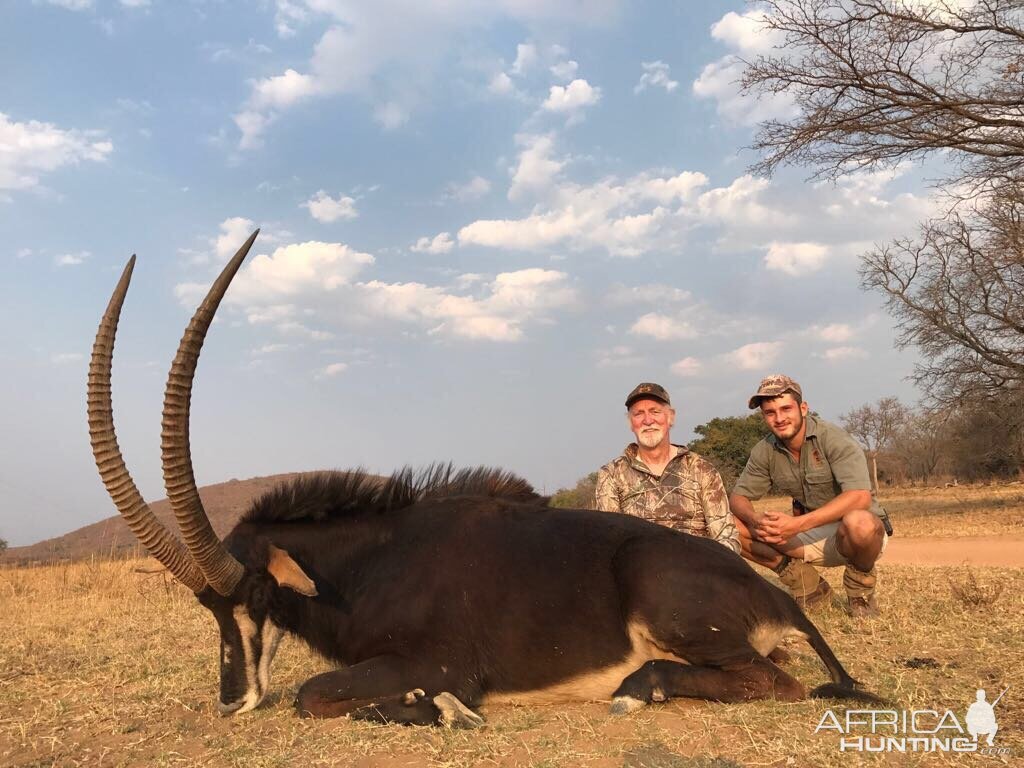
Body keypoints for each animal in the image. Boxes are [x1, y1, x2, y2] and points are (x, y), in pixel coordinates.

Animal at [86, 230, 880, 729]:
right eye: (207, 608)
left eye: (254, 595)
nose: (230, 702)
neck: (375, 559)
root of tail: (777, 596)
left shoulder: (438, 660)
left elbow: (316, 694)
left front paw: (442, 709)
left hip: (672, 605)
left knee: (775, 683)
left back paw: (637, 687)